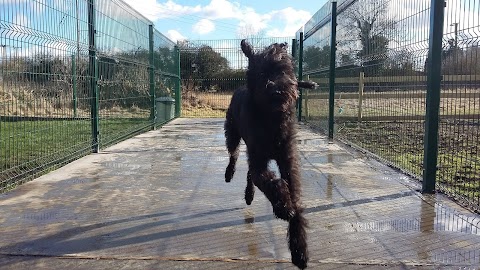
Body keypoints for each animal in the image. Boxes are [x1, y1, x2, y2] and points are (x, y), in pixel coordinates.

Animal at [225, 39, 316, 268]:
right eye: (261, 73)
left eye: (284, 70)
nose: (277, 91)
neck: (272, 120)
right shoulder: (259, 160)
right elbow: (272, 182)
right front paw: (284, 207)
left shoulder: (288, 162)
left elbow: (294, 197)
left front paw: (299, 250)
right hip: (232, 133)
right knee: (234, 154)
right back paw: (229, 174)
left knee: (248, 173)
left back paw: (249, 195)